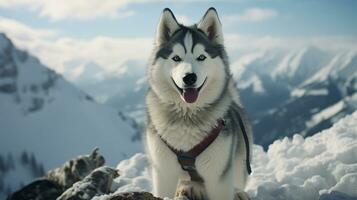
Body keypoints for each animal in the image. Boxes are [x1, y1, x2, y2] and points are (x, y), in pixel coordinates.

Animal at [145, 7, 253, 199]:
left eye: (201, 57)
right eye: (176, 58)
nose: (189, 77)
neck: (187, 118)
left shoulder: (218, 177)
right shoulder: (163, 172)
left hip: (240, 160)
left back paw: (238, 192)